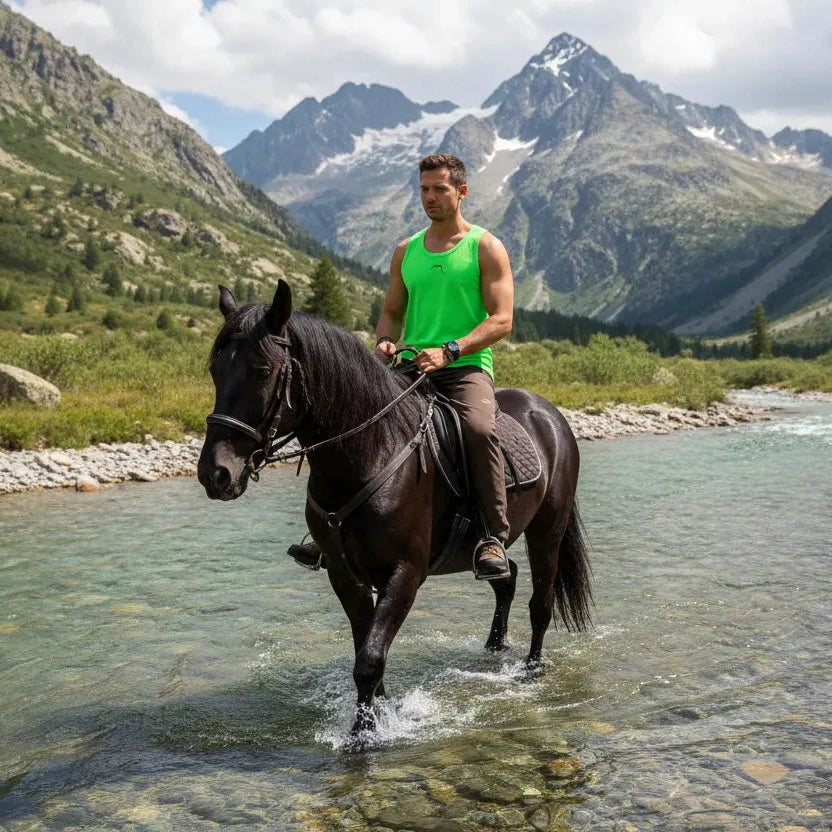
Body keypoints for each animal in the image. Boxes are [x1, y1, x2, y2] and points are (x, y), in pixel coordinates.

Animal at [197, 280, 592, 739]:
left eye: (262, 371)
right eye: (215, 371)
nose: (215, 474)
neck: (371, 451)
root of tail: (549, 413)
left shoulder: (404, 574)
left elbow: (369, 660)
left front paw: (364, 736)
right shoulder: (343, 574)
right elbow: (366, 648)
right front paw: (381, 713)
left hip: (547, 531)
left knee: (540, 604)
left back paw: (530, 671)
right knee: (505, 577)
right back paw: (494, 646)